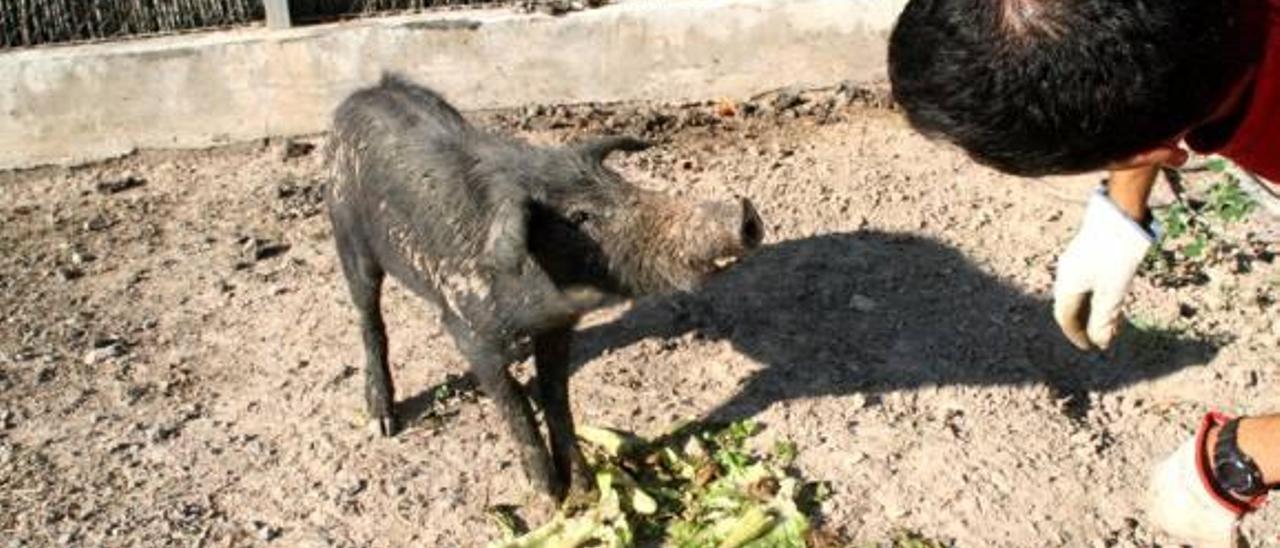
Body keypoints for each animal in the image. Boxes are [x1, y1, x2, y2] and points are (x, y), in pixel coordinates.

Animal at [325, 73, 757, 501]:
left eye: (620, 183)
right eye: (579, 217)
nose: (745, 213)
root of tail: (368, 90)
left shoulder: (558, 326)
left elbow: (556, 396)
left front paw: (584, 492)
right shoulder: (467, 329)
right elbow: (514, 402)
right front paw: (549, 498)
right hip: (347, 233)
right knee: (369, 318)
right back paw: (384, 422)